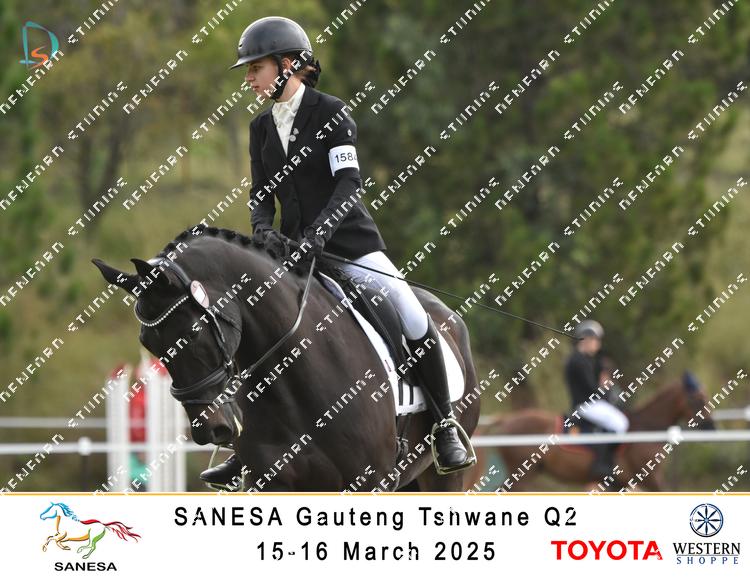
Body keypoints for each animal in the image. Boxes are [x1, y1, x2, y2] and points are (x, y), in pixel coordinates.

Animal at [92, 225, 480, 491]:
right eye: (149, 344)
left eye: (195, 332)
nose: (210, 429)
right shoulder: (271, 483)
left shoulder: (365, 482)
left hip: (439, 477)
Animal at [464, 373, 716, 492]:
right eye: (698, 398)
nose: (712, 428)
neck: (645, 429)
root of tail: (507, 419)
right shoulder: (651, 478)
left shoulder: (619, 483)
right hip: (523, 476)